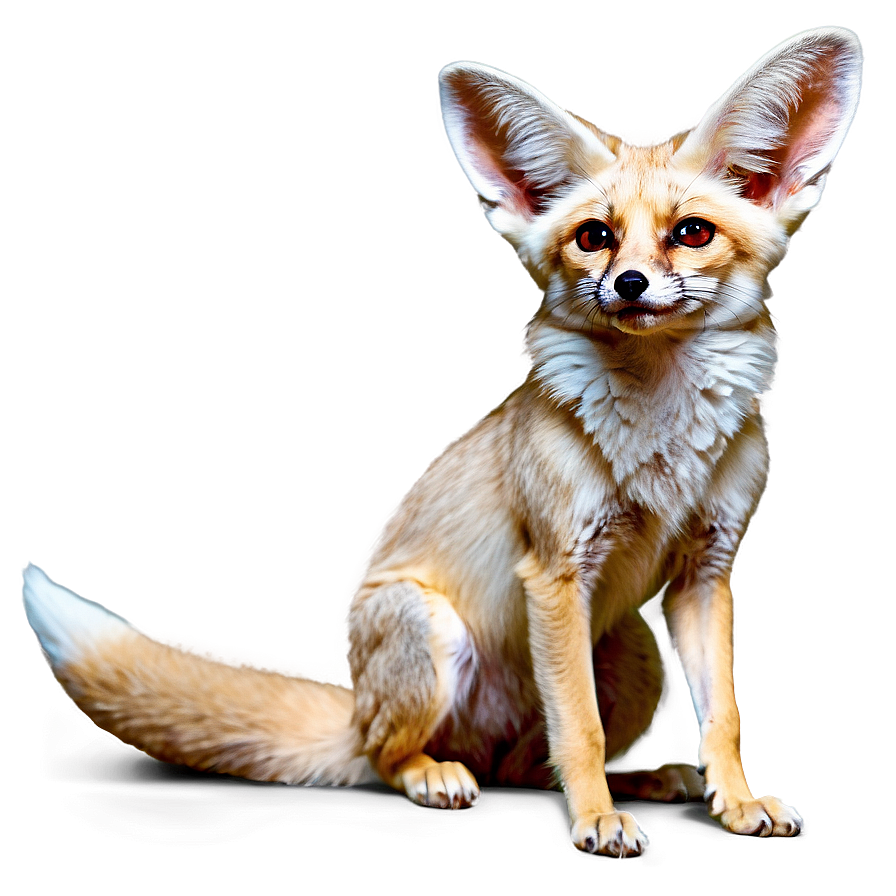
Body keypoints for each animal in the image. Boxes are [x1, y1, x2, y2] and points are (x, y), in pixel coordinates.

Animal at [23, 28, 861, 857]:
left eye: (691, 234)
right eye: (594, 237)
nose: (628, 284)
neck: (661, 435)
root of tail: (362, 710)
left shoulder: (705, 573)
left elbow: (723, 717)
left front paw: (737, 803)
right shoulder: (555, 572)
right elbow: (580, 729)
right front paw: (594, 821)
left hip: (635, 657)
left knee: (528, 769)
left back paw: (640, 780)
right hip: (427, 628)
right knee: (397, 758)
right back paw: (438, 776)